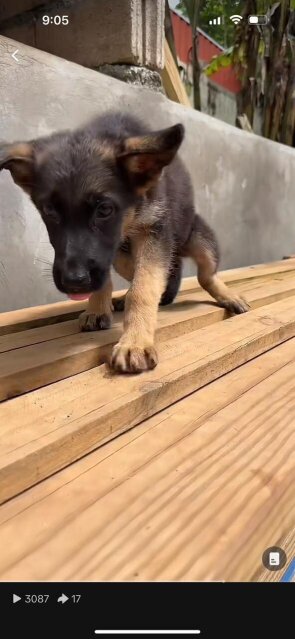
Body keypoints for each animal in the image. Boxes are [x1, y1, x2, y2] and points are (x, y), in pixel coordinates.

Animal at [0, 114, 250, 372]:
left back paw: (226, 295)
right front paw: (98, 308)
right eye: (49, 211)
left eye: (104, 210)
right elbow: (121, 275)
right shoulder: (116, 248)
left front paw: (135, 342)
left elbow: (144, 286)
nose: (74, 283)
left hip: (200, 240)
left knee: (206, 275)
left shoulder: (154, 232)